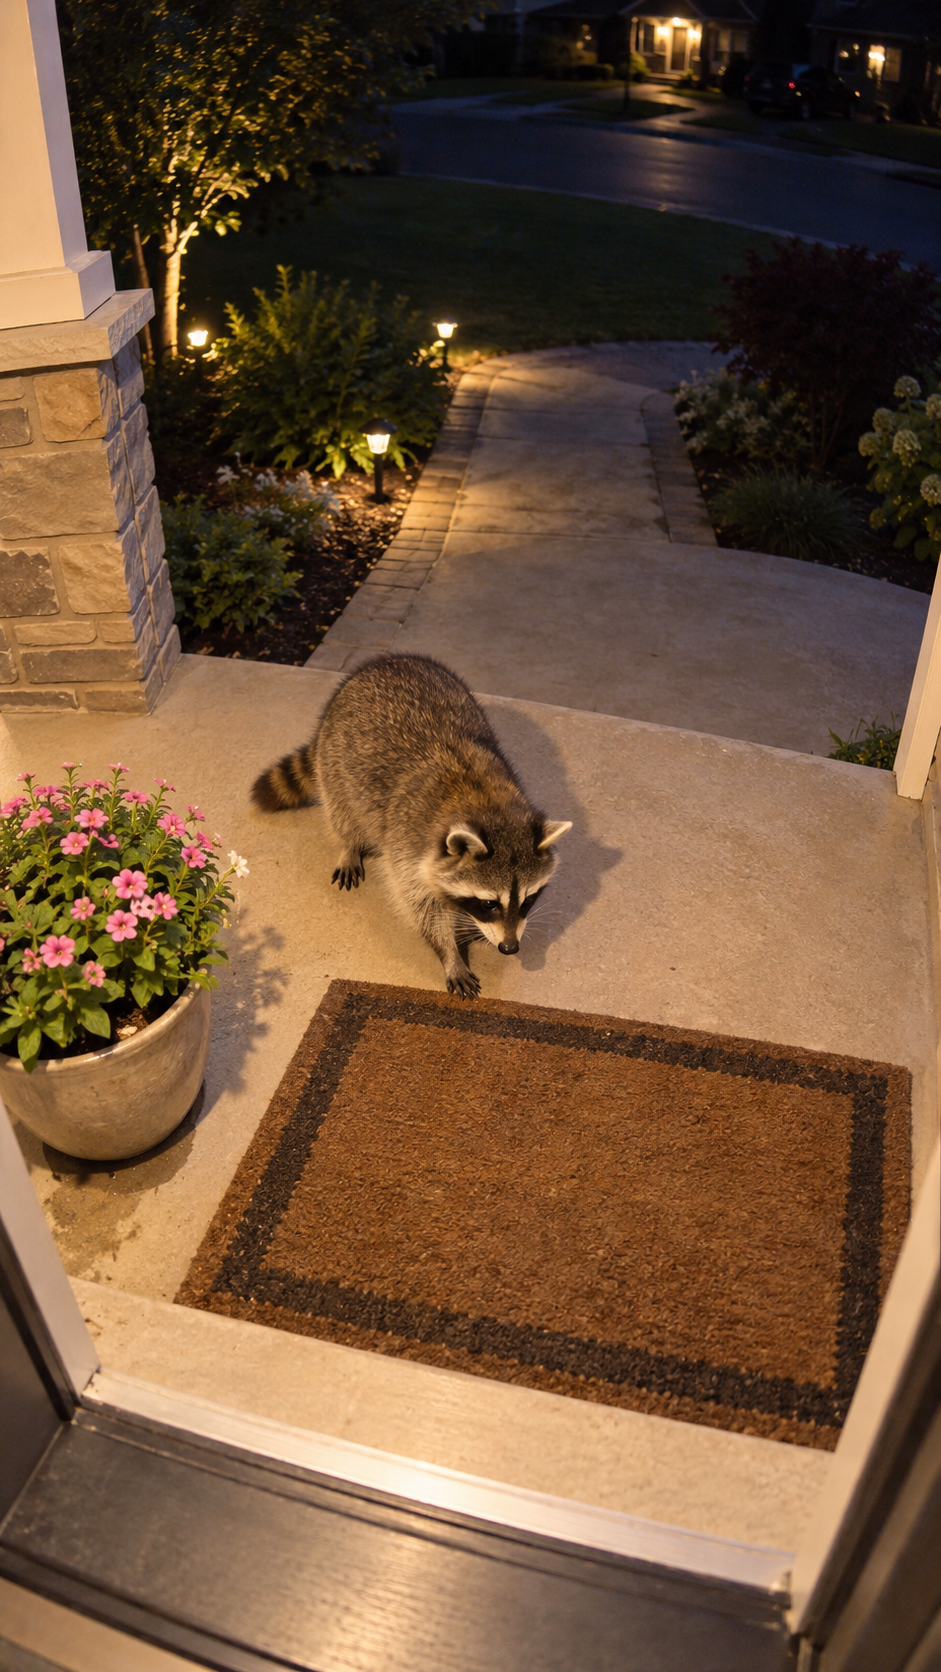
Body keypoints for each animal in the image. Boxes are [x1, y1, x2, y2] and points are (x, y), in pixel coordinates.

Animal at [252, 652, 571, 998]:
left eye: (529, 899)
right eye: (488, 903)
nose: (510, 948)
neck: (486, 804)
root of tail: (385, 662)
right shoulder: (407, 844)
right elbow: (422, 906)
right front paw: (449, 953)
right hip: (336, 763)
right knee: (342, 809)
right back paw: (349, 843)